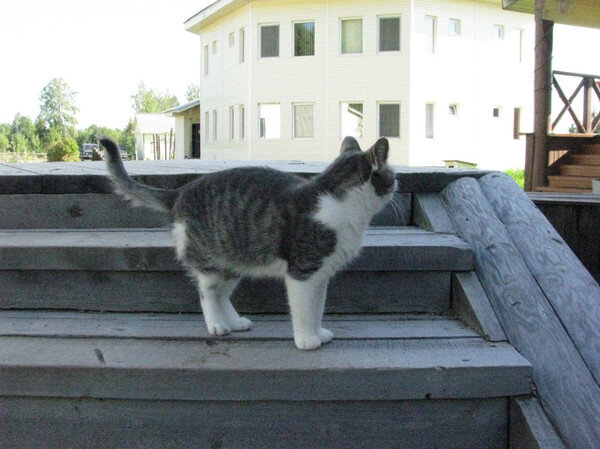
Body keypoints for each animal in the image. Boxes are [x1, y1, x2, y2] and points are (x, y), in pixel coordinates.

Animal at [101, 136, 396, 350]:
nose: (397, 186)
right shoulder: (302, 273)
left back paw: (234, 321)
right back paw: (217, 325)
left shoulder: (321, 276)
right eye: (392, 177)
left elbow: (318, 308)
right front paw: (306, 339)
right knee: (207, 294)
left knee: (222, 294)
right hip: (209, 263)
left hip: (233, 262)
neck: (338, 202)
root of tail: (179, 193)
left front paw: (318, 332)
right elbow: (303, 310)